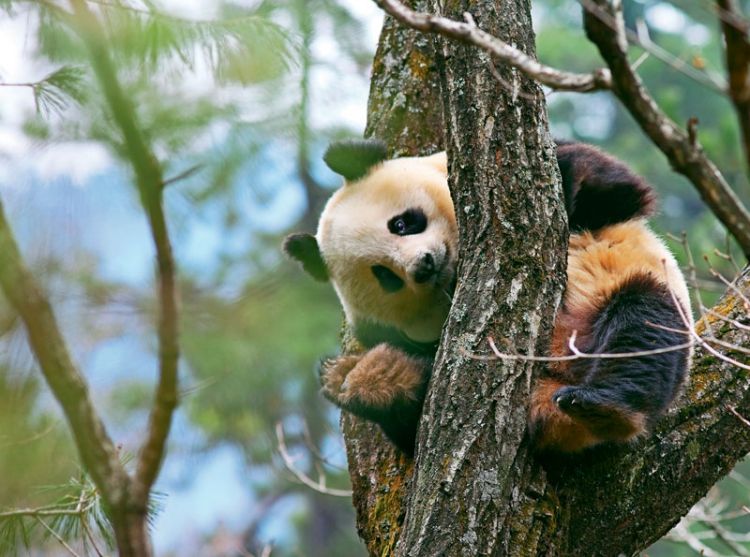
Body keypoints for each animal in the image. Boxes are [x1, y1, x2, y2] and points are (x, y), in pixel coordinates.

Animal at [286, 139, 692, 456]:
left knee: (643, 330)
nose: (425, 265)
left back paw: (607, 407)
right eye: (384, 275)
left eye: (401, 223)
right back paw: (369, 379)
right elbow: (412, 440)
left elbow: (614, 187)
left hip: (635, 286)